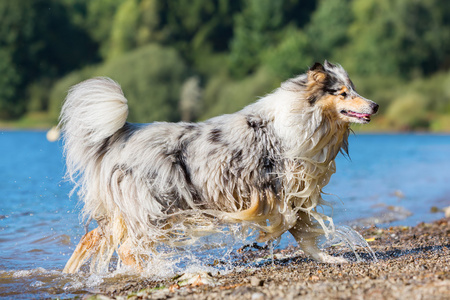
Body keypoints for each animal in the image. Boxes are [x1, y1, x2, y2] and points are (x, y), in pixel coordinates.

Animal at [59, 61, 376, 274]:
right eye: (342, 93)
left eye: (354, 89)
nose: (375, 105)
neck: (306, 118)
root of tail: (123, 134)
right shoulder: (280, 190)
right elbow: (288, 223)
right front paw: (266, 236)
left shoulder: (298, 194)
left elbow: (305, 234)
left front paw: (329, 259)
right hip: (155, 211)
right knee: (127, 249)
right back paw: (155, 271)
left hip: (128, 213)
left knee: (93, 238)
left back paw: (70, 273)